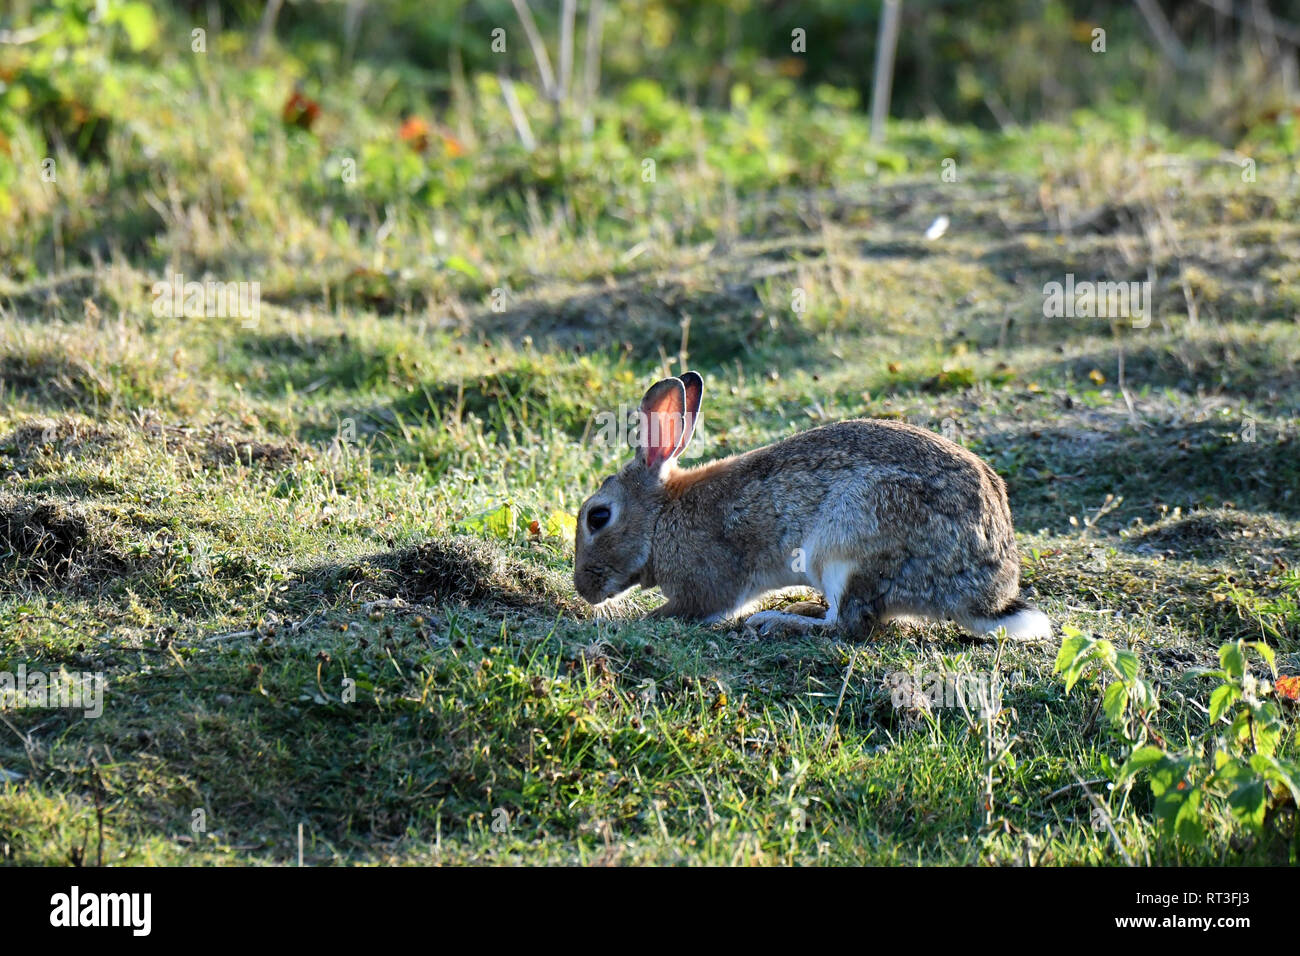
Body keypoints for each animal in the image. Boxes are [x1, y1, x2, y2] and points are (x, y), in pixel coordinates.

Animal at [573, 372, 1051, 641]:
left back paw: (780, 622)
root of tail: (984, 597)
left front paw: (638, 621)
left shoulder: (707, 580)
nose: (582, 589)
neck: (660, 519)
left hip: (846, 546)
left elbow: (693, 607)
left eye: (598, 517)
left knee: (851, 624)